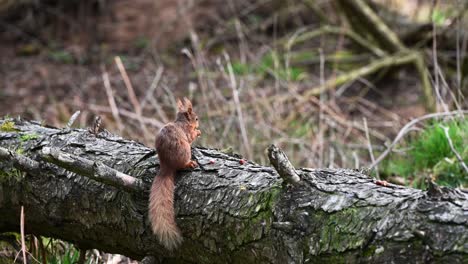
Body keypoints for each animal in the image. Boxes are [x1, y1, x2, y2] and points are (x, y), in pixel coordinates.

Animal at [149, 98, 200, 251]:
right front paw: (198, 131)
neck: (182, 121)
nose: (198, 123)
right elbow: (191, 136)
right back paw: (190, 164)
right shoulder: (187, 131)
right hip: (185, 150)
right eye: (196, 118)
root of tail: (167, 167)